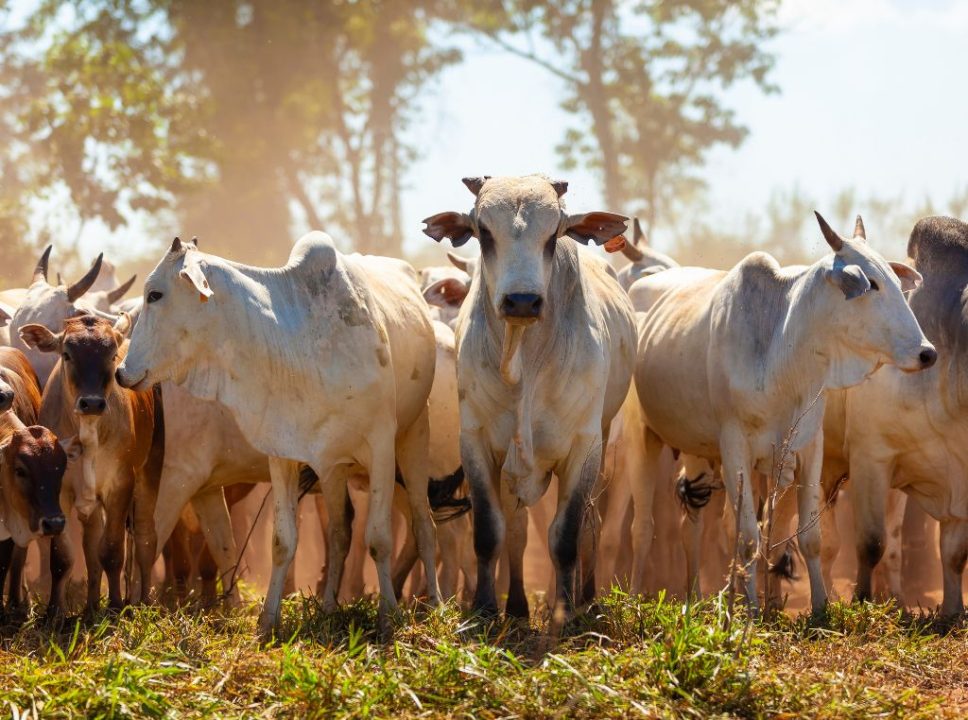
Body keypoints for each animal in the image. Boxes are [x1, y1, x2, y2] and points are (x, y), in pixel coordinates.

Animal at [20, 316, 164, 612]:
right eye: (67, 354)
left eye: (111, 356)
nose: (92, 403)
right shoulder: (60, 492)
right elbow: (63, 557)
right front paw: (55, 611)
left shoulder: (120, 485)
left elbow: (112, 550)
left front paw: (116, 605)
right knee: (91, 545)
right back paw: (90, 606)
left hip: (150, 472)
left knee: (146, 538)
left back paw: (143, 600)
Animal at [117, 233, 438, 632]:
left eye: (155, 294)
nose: (120, 372)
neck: (295, 343)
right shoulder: (283, 454)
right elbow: (282, 542)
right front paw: (268, 619)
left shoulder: (379, 446)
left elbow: (378, 538)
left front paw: (389, 615)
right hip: (333, 469)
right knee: (340, 532)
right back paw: (328, 607)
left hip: (413, 439)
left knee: (424, 524)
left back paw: (436, 603)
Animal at [632, 214, 932, 612]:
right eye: (873, 284)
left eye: (897, 283)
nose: (927, 352)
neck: (781, 350)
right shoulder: (735, 447)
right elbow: (747, 538)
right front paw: (752, 609)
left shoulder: (809, 448)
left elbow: (809, 538)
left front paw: (819, 607)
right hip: (644, 438)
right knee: (648, 528)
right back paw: (653, 595)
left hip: (699, 450)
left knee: (696, 524)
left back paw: (707, 594)